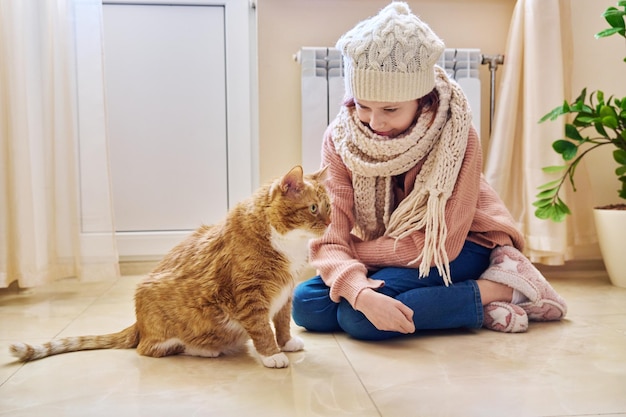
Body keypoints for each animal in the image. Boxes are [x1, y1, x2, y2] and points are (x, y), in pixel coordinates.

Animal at [11, 166, 332, 368]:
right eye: (313, 208)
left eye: (329, 207)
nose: (330, 223)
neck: (287, 244)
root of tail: (138, 323)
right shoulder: (249, 296)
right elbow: (263, 329)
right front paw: (271, 355)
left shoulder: (284, 295)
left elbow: (281, 323)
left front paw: (286, 343)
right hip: (156, 305)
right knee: (150, 348)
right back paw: (203, 349)